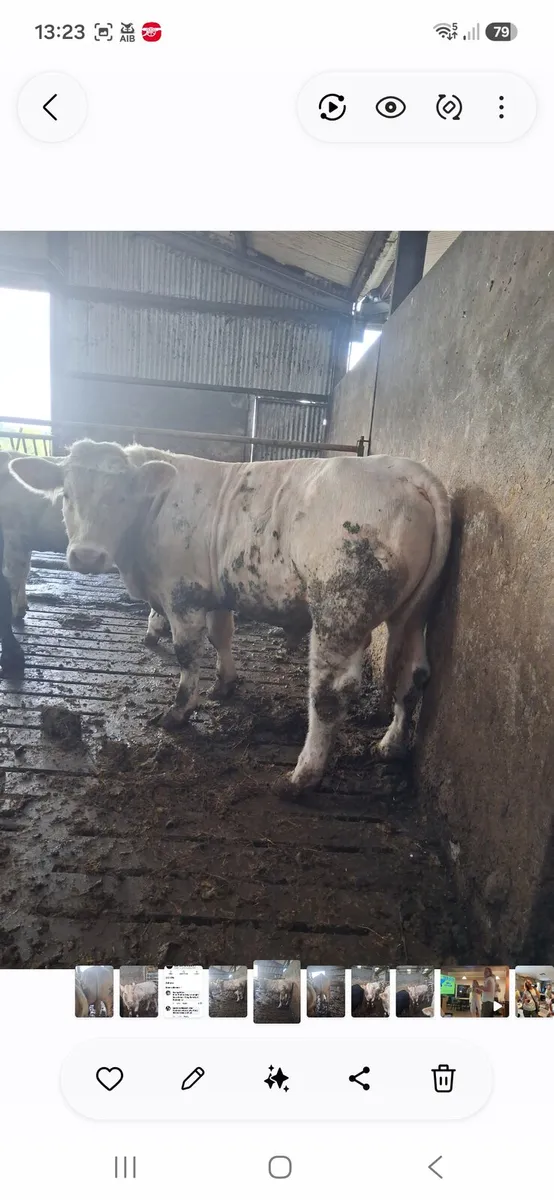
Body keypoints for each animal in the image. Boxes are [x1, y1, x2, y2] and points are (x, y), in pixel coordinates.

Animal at [10, 443, 451, 792]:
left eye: (122, 498)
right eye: (66, 494)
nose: (86, 556)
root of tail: (403, 468)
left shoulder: (182, 594)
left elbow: (187, 654)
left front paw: (179, 712)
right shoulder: (215, 592)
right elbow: (221, 635)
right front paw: (224, 684)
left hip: (340, 609)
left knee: (330, 692)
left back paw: (301, 777)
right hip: (413, 613)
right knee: (414, 673)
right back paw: (390, 744)